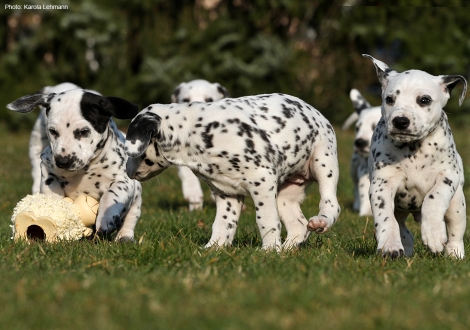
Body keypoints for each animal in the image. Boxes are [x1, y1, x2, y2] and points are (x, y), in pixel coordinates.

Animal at [7, 89, 142, 241]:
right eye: (53, 131)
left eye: (84, 132)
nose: (62, 161)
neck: (86, 169)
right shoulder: (47, 166)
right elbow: (51, 189)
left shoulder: (124, 181)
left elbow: (111, 195)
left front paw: (106, 218)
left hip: (137, 200)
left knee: (129, 220)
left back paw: (124, 237)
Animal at [123, 93, 340, 250]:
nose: (126, 170)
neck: (195, 133)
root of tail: (315, 111)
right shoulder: (227, 193)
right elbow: (222, 225)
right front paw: (213, 248)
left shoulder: (262, 181)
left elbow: (266, 220)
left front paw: (269, 250)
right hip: (285, 195)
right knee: (299, 225)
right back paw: (287, 249)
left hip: (323, 164)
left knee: (331, 204)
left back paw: (320, 222)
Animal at [364, 54, 466, 260]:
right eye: (389, 99)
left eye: (424, 100)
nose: (400, 121)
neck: (414, 149)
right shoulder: (382, 184)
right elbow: (385, 217)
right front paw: (389, 245)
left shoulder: (448, 176)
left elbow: (434, 198)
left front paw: (434, 234)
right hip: (401, 210)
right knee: (402, 227)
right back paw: (404, 246)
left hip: (457, 204)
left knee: (456, 229)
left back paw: (455, 253)